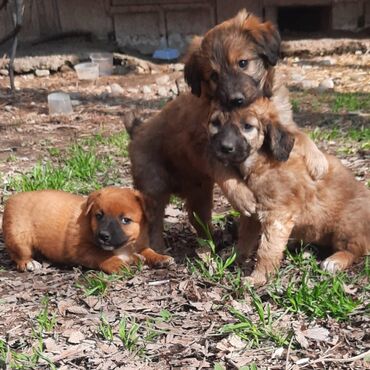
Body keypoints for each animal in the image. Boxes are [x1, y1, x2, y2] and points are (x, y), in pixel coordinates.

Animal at [1, 186, 173, 274]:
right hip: (19, 237)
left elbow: (148, 251)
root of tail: (12, 199)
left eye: (126, 220)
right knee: (18, 255)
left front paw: (160, 258)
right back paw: (28, 263)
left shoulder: (140, 244)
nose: (103, 236)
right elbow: (103, 255)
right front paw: (119, 264)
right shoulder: (83, 249)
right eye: (99, 215)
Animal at [127, 9, 326, 251]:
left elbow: (300, 135)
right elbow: (223, 168)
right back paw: (158, 248)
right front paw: (242, 196)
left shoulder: (281, 120)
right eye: (214, 75)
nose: (235, 99)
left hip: (200, 191)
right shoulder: (202, 144)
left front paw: (318, 160)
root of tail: (137, 129)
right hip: (154, 185)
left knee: (197, 218)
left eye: (243, 63)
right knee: (154, 221)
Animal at [208, 87, 370, 286]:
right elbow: (245, 239)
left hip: (347, 223)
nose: (224, 148)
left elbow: (267, 250)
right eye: (215, 123)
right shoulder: (252, 215)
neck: (260, 164)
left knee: (355, 249)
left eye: (247, 126)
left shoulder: (277, 215)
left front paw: (259, 277)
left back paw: (335, 261)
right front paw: (236, 259)